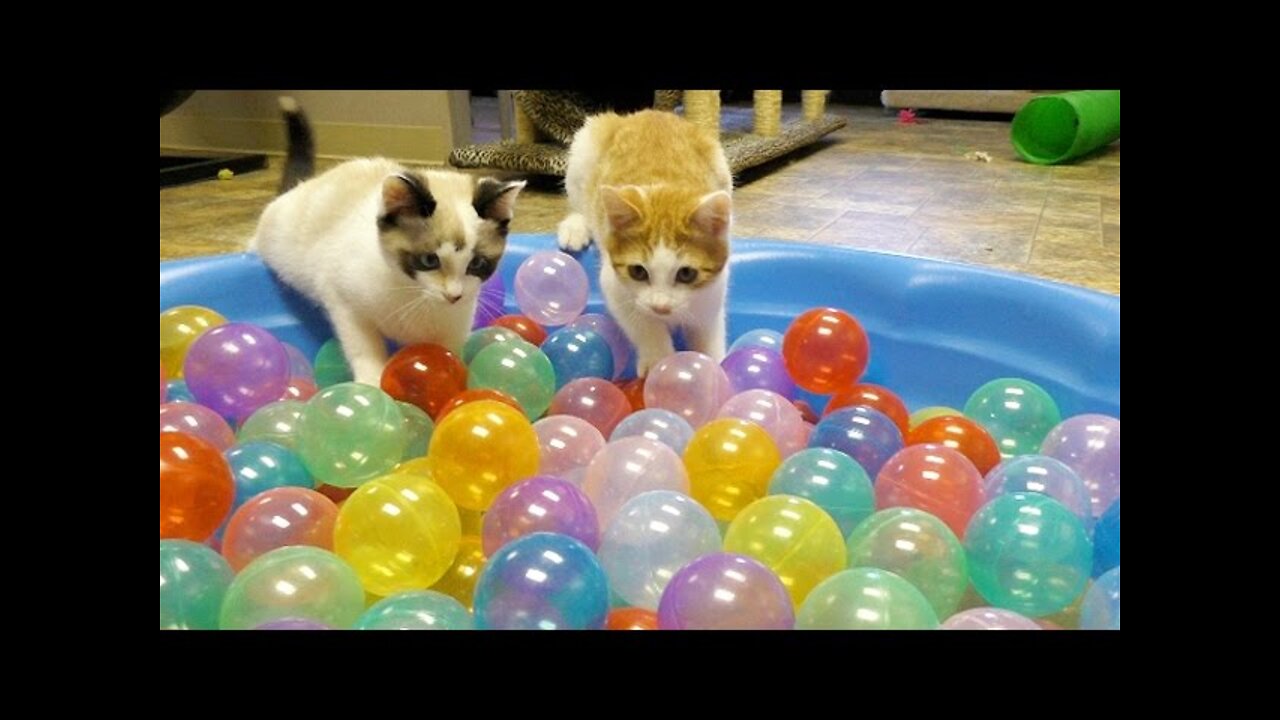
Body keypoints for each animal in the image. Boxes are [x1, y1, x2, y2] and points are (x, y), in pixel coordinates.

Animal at [252, 99, 522, 386]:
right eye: (429, 260)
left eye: (477, 264)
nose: (454, 296)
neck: (414, 294)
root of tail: (304, 184)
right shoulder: (342, 300)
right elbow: (363, 347)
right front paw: (371, 384)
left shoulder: (455, 325)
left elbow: (449, 355)